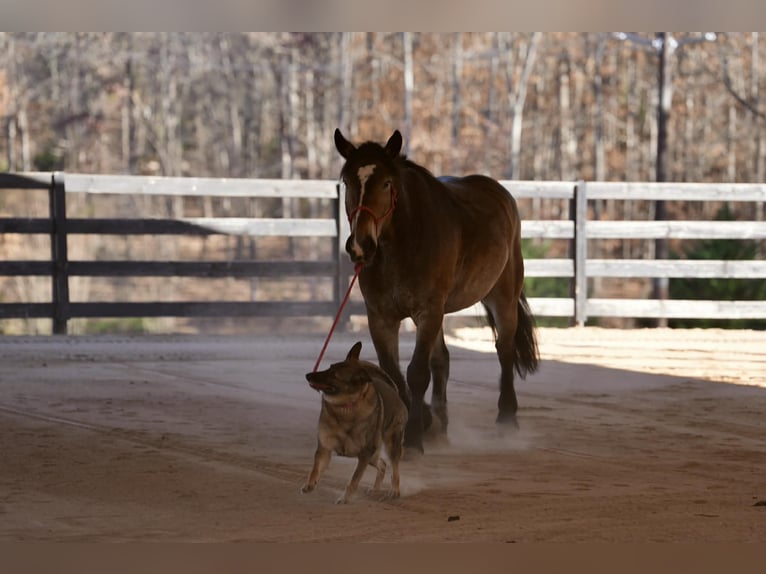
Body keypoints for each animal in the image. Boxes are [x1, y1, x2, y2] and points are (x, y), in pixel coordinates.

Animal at [334, 128, 539, 454]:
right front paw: (422, 422)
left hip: (503, 297)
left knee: (504, 350)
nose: (360, 245)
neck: (403, 242)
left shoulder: (428, 311)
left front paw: (414, 438)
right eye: (347, 182)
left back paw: (507, 418)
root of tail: (500, 193)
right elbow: (393, 372)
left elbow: (417, 373)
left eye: (386, 183)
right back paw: (441, 423)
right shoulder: (381, 317)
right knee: (442, 359)